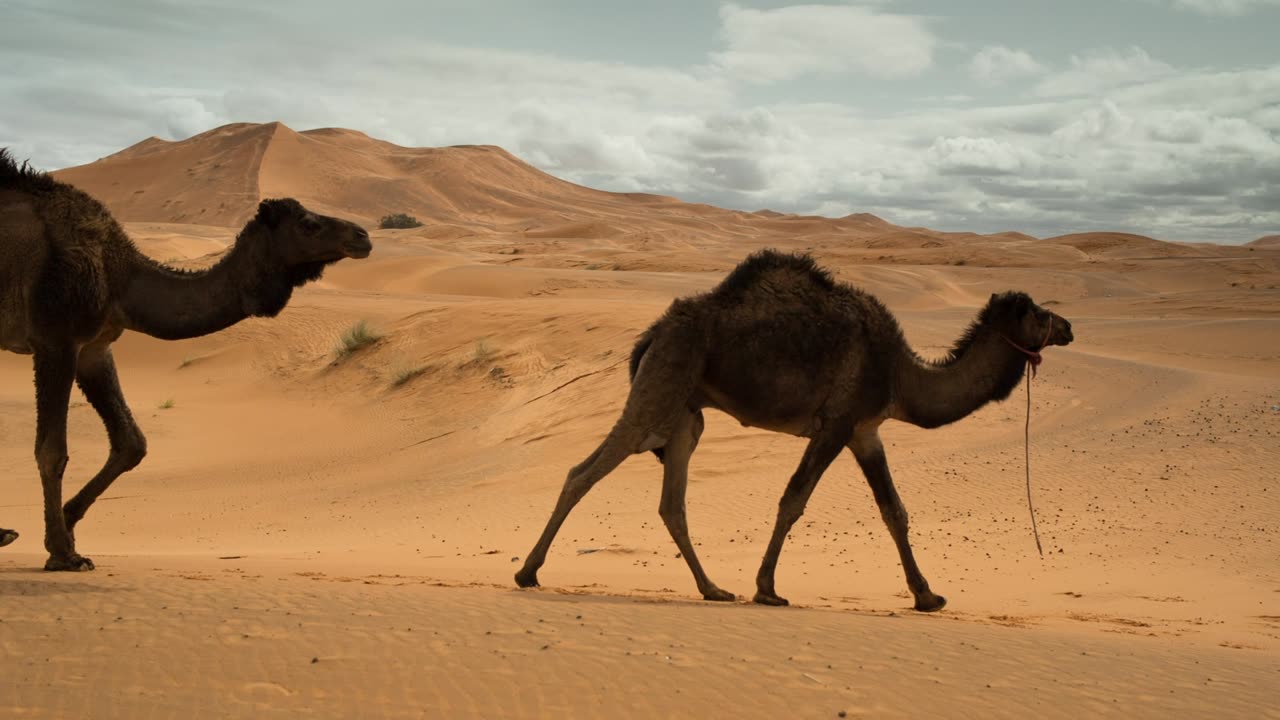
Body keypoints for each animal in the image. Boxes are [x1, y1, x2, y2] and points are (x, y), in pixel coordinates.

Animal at [2, 148, 373, 568]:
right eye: (309, 224)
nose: (362, 236)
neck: (119, 276)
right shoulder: (56, 339)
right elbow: (52, 450)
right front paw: (63, 552)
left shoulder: (95, 347)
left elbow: (132, 443)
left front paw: (66, 522)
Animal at [514, 249, 1075, 607]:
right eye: (1039, 313)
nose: (1069, 326)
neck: (901, 374)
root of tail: (651, 333)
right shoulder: (837, 424)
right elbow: (793, 500)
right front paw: (767, 589)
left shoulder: (865, 431)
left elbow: (894, 511)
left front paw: (928, 596)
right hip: (662, 387)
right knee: (583, 472)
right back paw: (527, 572)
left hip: (686, 413)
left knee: (671, 501)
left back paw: (713, 589)